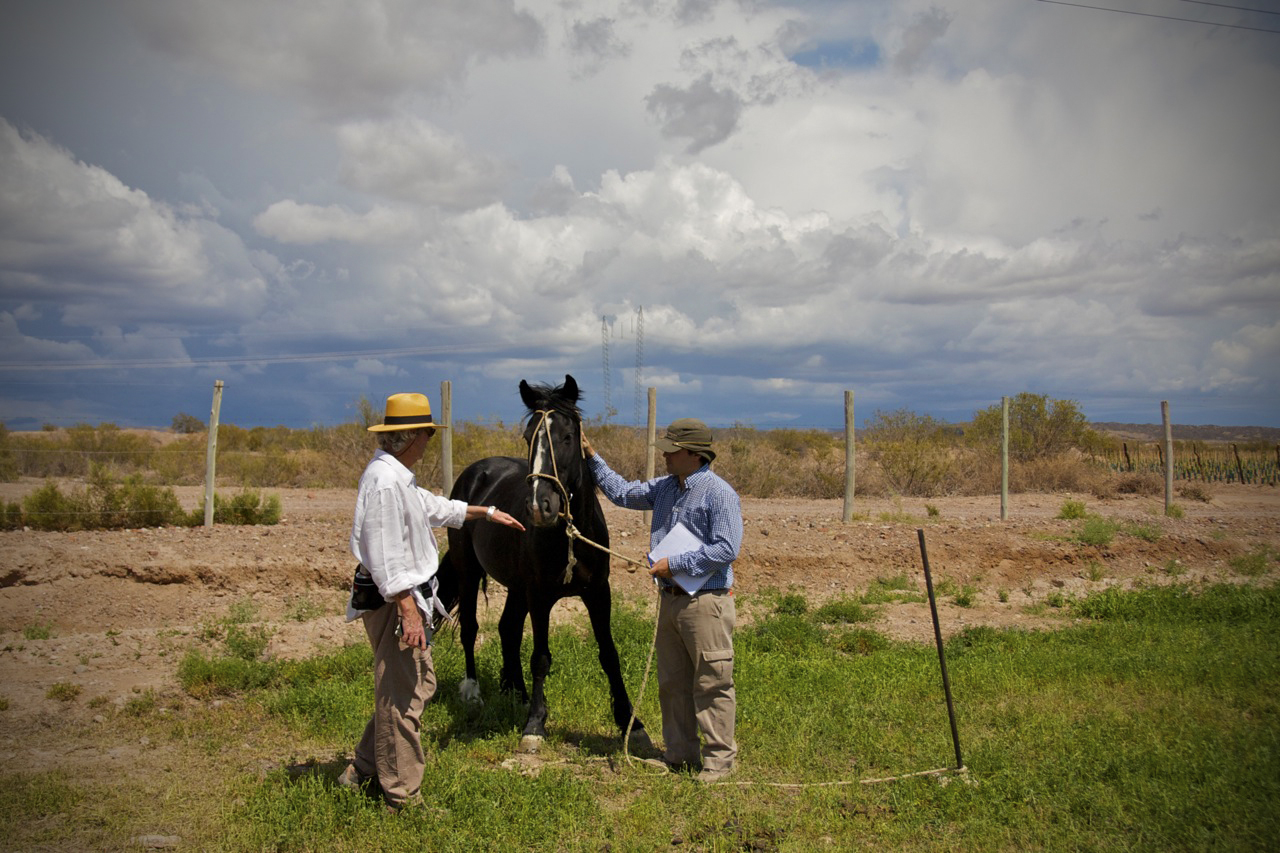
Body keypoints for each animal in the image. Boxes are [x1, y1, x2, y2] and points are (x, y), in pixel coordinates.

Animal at [448, 376, 650, 747]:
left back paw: (517, 693)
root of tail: (476, 472)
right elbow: (541, 658)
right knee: (470, 628)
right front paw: (535, 725)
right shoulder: (540, 596)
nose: (539, 506)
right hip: (468, 572)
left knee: (508, 629)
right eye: (530, 438)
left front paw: (631, 723)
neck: (570, 535)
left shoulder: (598, 593)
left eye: (568, 437)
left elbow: (609, 654)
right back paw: (474, 693)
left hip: (516, 587)